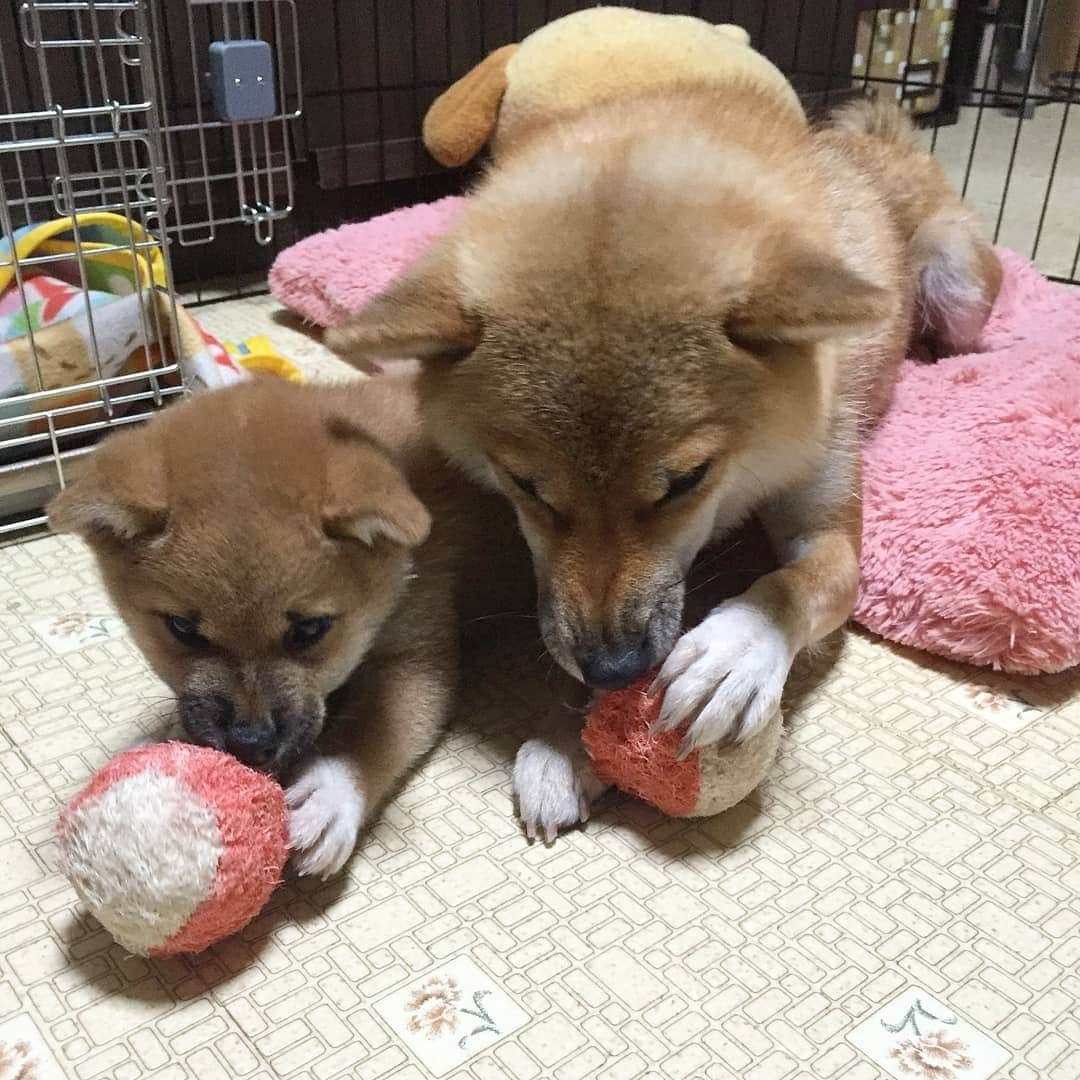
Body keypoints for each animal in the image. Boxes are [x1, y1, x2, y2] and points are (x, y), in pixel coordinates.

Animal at [47, 375, 527, 872]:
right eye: (181, 628)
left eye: (310, 630)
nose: (249, 742)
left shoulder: (417, 655)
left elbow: (373, 734)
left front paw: (329, 796)